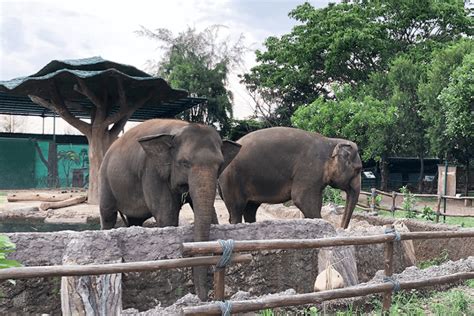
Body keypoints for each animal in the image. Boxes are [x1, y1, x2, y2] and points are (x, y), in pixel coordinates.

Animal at [99, 118, 241, 298]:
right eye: (184, 163)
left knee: (134, 221)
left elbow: (210, 213)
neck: (179, 129)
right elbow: (167, 215)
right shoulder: (151, 171)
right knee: (108, 215)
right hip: (105, 179)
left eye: (220, 164)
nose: (202, 298)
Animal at [218, 127, 362, 228]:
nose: (341, 228)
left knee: (250, 209)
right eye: (358, 170)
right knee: (236, 210)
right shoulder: (309, 169)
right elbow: (302, 199)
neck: (331, 141)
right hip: (232, 180)